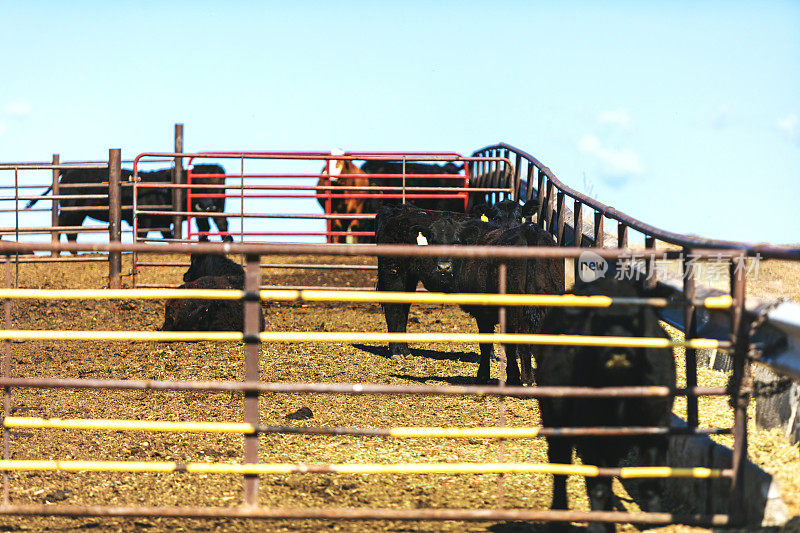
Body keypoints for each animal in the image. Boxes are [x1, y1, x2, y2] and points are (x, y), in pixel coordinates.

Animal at [376, 203, 564, 382]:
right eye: (433, 241)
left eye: (519, 217)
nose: (444, 267)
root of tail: (398, 210)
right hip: (393, 272)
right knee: (394, 310)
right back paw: (397, 351)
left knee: (403, 309)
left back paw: (404, 350)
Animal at [536, 276, 676, 524]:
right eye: (597, 318)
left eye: (637, 317)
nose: (618, 350)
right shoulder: (592, 437)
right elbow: (598, 488)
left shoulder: (655, 430)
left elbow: (651, 483)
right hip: (554, 420)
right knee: (560, 464)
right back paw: (559, 510)